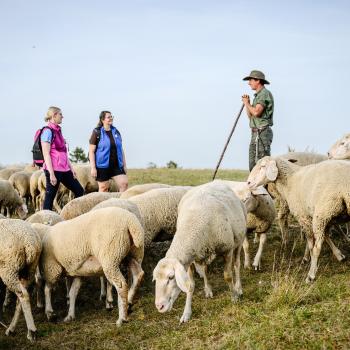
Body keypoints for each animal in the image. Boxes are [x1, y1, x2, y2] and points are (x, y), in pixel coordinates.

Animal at [153, 182, 246, 324]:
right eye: (155, 279)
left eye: (171, 277)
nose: (159, 306)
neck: (193, 223)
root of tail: (217, 182)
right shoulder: (189, 259)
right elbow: (190, 286)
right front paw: (186, 313)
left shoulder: (227, 249)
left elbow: (228, 276)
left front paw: (234, 296)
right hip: (203, 251)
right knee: (205, 270)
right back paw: (208, 289)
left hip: (238, 241)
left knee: (237, 264)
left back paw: (239, 287)